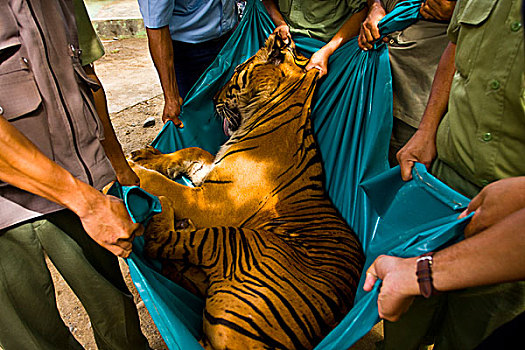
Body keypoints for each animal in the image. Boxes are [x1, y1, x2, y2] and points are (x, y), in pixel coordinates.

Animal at [128, 33, 364, 350]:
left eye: (237, 69)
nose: (212, 99)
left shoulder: (210, 203)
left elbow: (165, 185)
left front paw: (133, 169)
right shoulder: (211, 176)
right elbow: (193, 150)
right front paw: (147, 156)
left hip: (239, 242)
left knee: (168, 242)